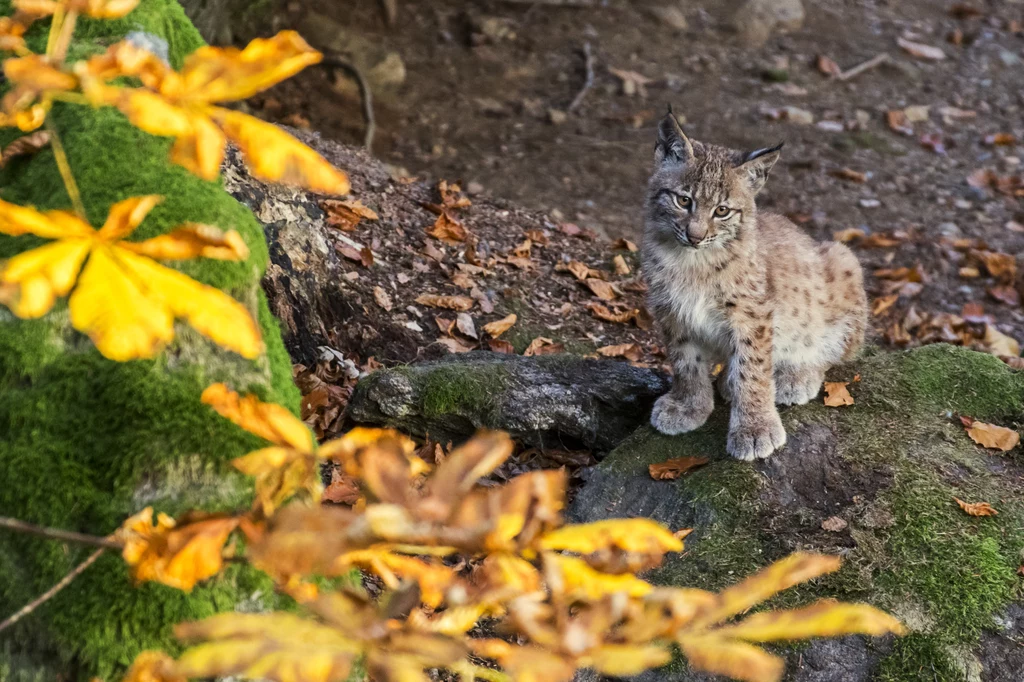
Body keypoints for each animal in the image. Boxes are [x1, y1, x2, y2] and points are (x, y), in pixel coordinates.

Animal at [647, 111, 864, 458]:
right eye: (683, 200)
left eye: (722, 211)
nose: (695, 236)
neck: (692, 261)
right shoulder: (670, 310)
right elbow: (685, 362)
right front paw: (688, 406)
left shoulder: (752, 313)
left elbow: (753, 367)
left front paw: (755, 429)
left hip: (842, 257)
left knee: (832, 350)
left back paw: (794, 376)